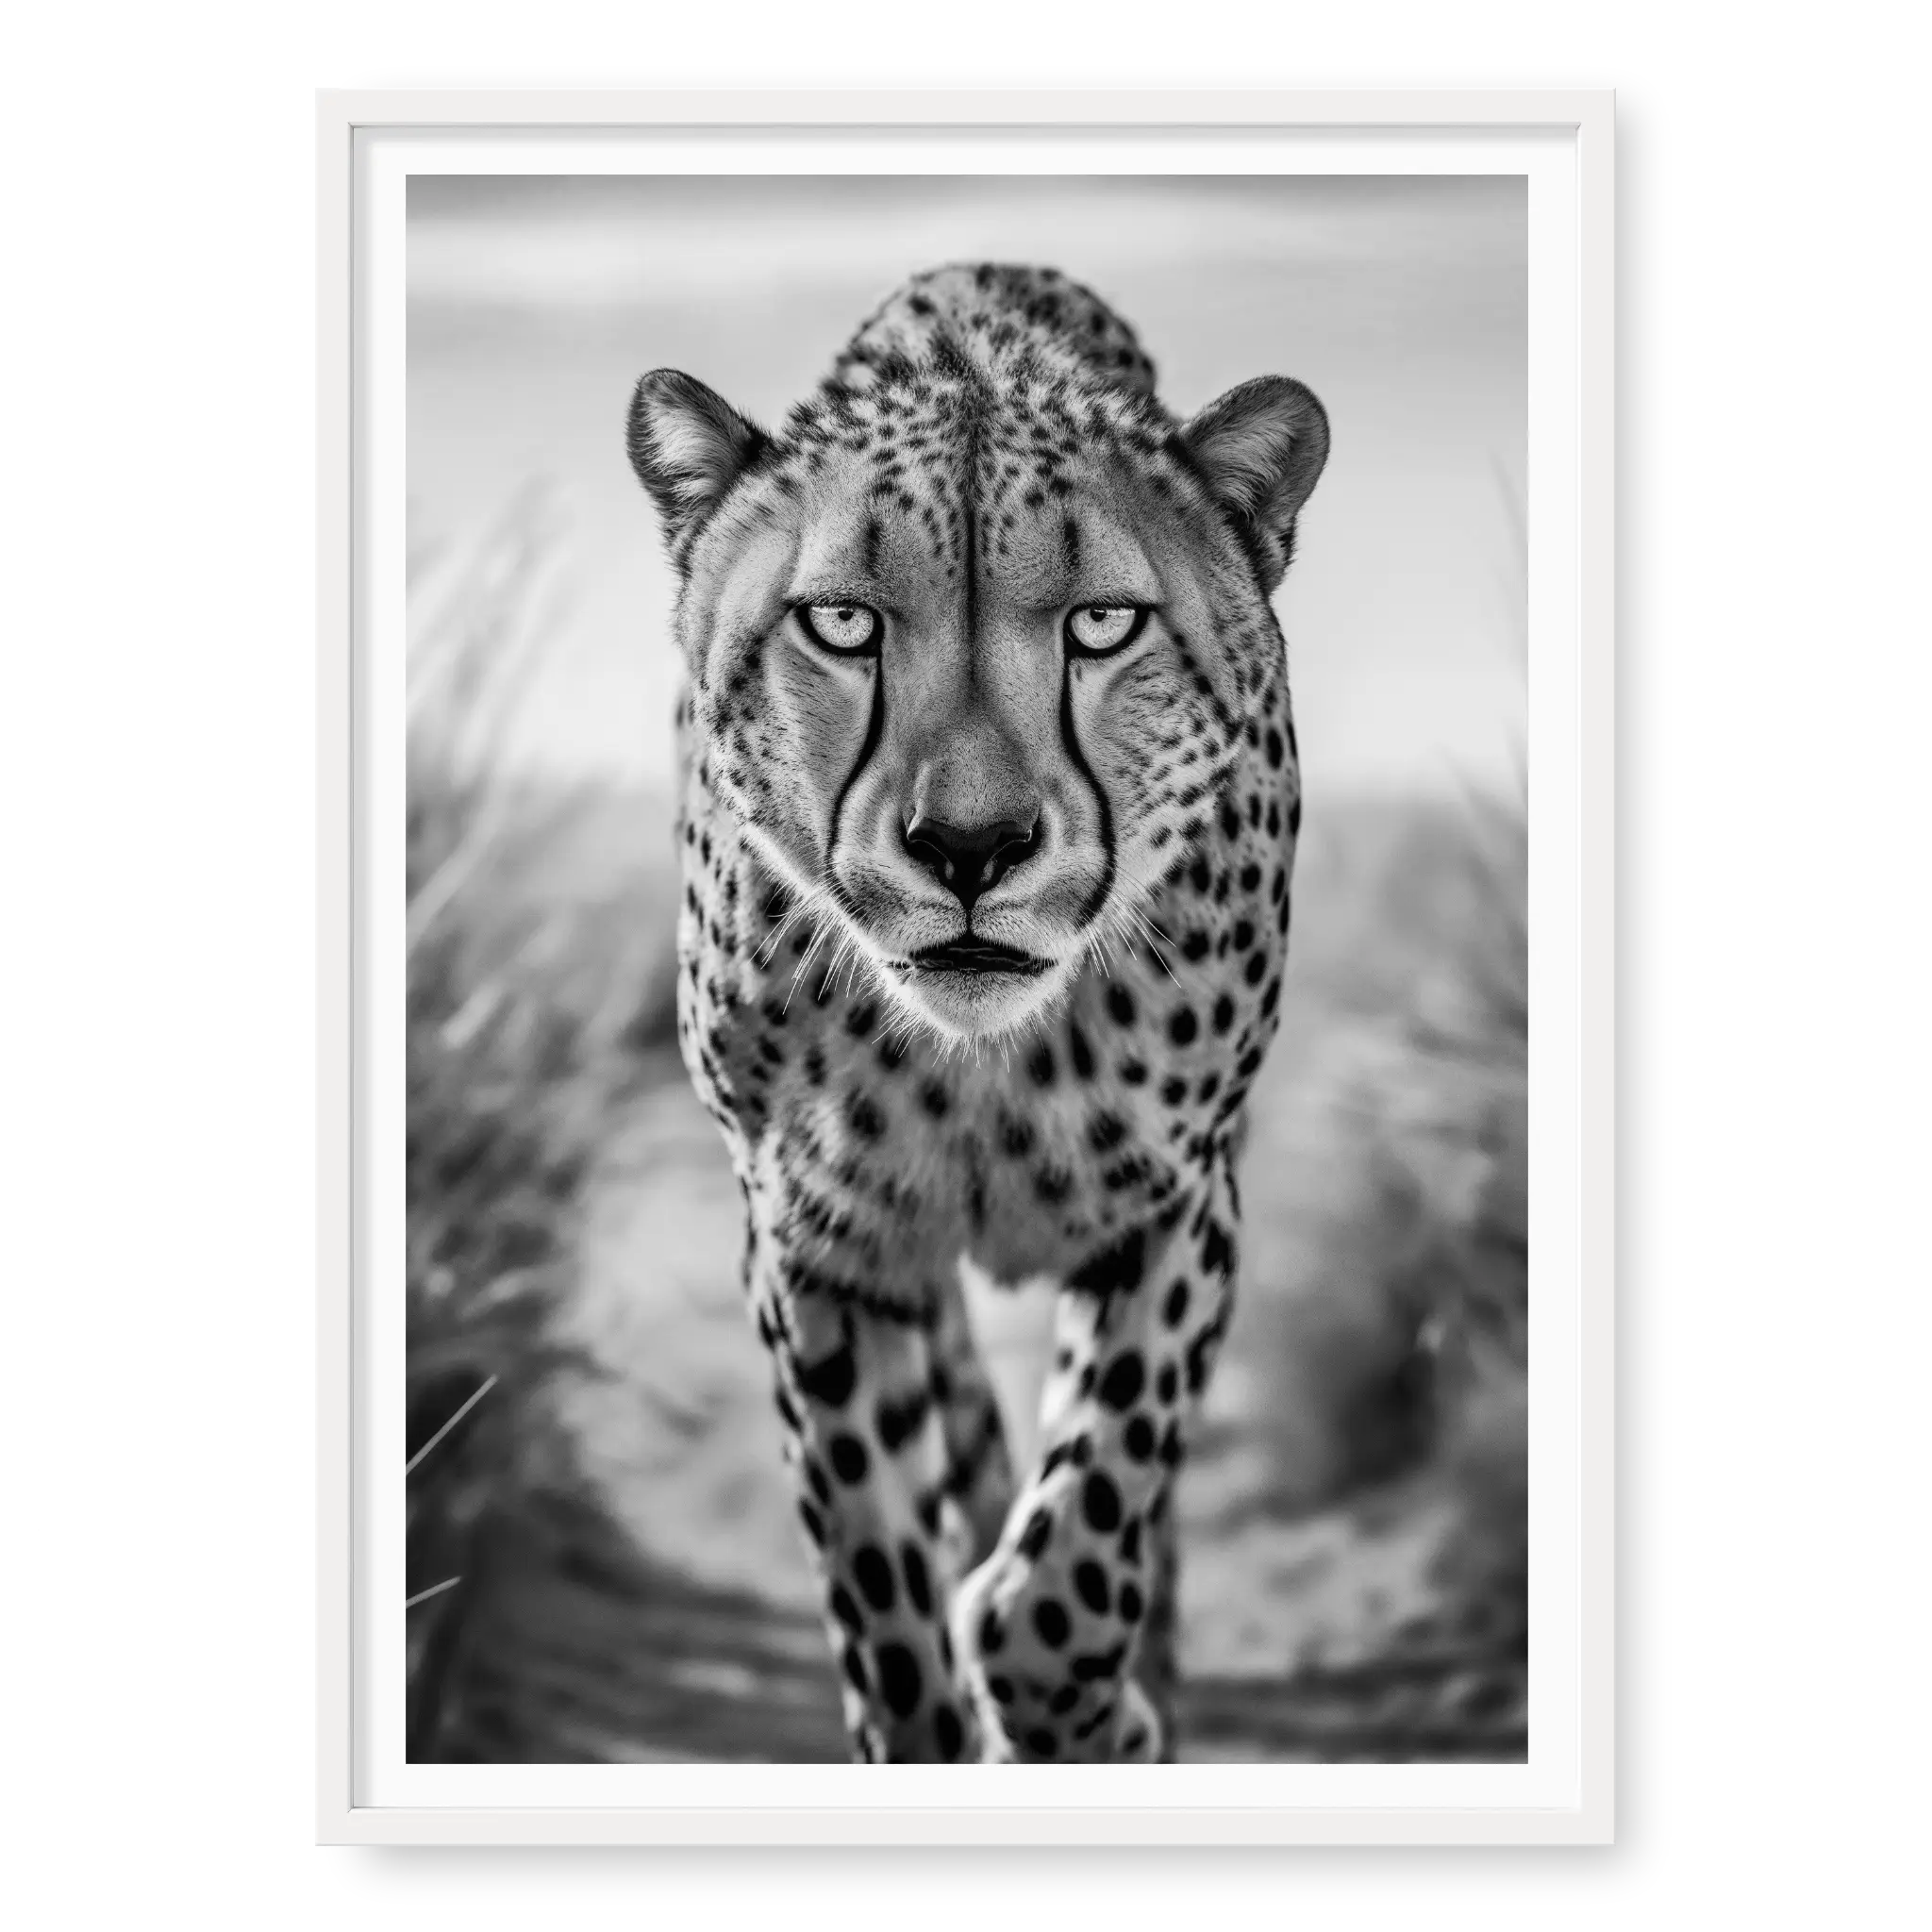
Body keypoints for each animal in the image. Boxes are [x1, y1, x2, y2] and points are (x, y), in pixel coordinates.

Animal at [626, 262, 1329, 1763]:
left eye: (1102, 624)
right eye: (840, 622)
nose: (969, 845)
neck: (979, 1060)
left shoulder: (1180, 1204)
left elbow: (1087, 1525)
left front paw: (1092, 1712)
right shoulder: (817, 1246)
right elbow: (881, 1587)